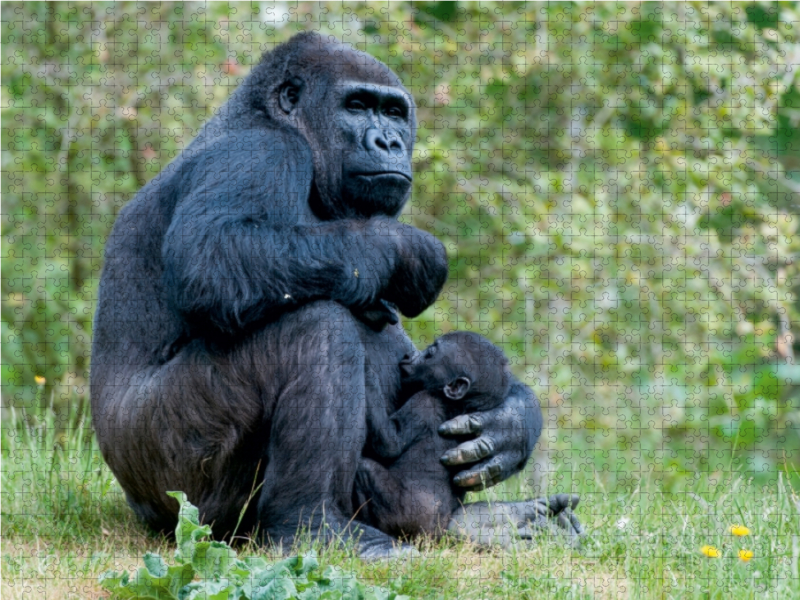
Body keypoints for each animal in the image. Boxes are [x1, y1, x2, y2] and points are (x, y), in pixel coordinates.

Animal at [354, 332, 510, 540]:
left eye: (430, 353)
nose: (410, 356)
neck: (460, 405)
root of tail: (433, 534)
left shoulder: (425, 402)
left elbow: (388, 445)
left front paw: (366, 368)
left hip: (405, 519)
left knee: (365, 469)